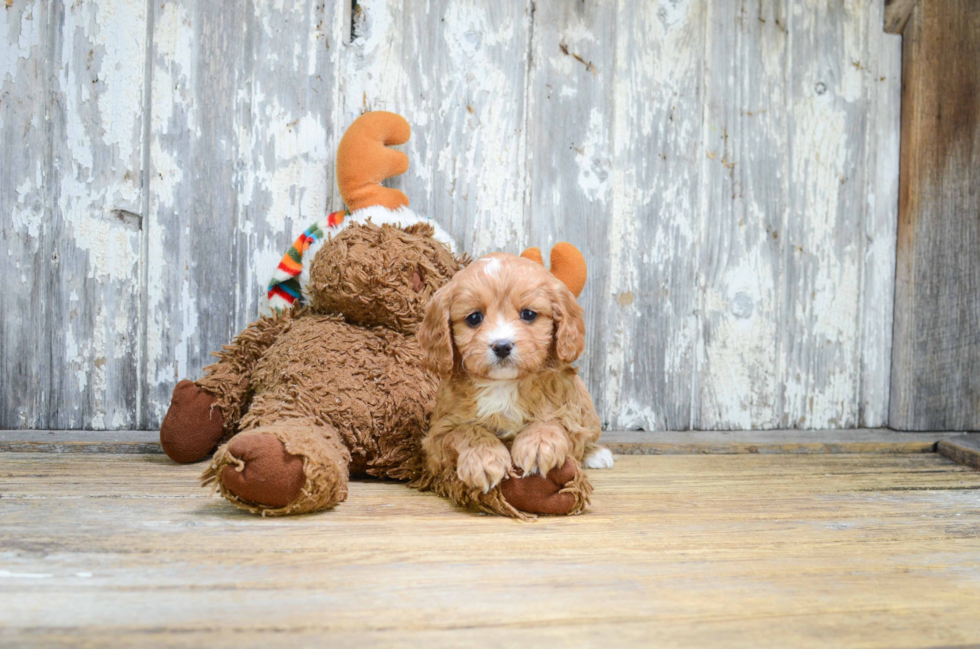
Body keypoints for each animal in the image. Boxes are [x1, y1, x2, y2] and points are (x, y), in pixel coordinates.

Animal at [416, 247, 612, 512]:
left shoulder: (568, 409)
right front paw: (483, 459)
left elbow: (554, 421)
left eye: (528, 314)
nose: (502, 346)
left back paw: (597, 454)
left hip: (587, 408)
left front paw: (539, 445)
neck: (503, 384)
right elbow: (464, 431)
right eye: (474, 318)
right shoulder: (437, 435)